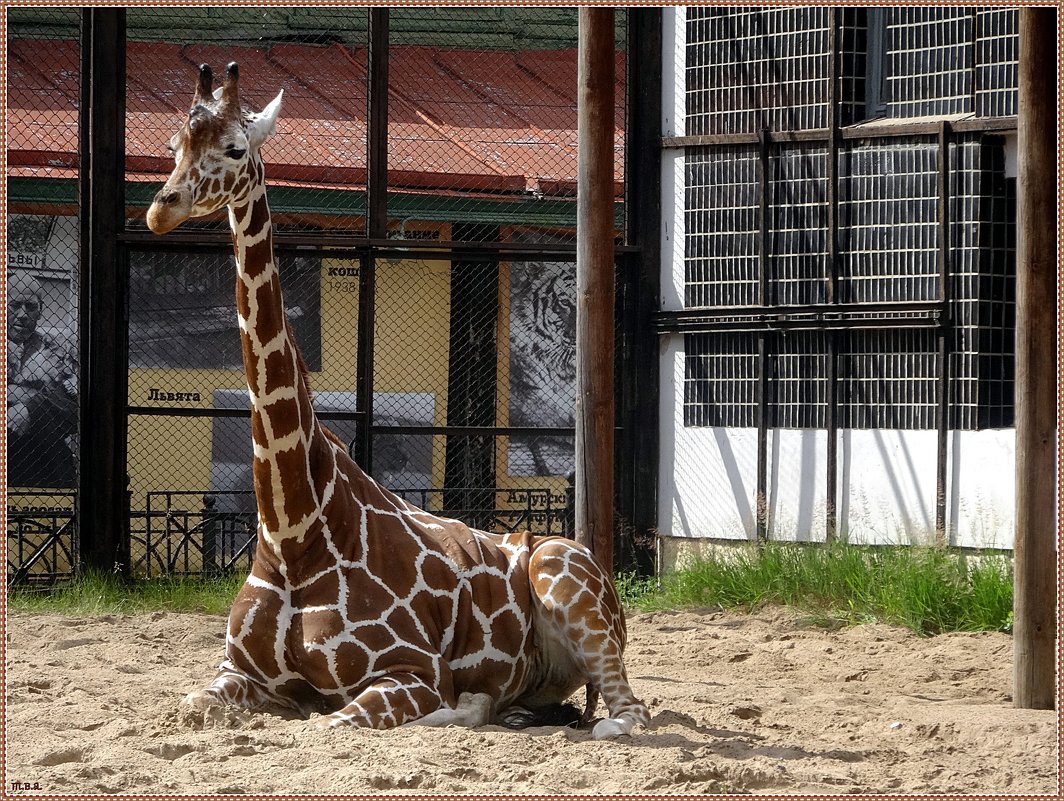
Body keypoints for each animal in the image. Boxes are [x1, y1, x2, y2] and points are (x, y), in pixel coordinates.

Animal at [141, 60, 646, 736]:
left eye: (234, 147)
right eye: (175, 145)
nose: (160, 210)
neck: (294, 532)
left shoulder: (411, 671)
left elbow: (332, 723)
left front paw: (459, 705)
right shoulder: (238, 673)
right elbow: (190, 705)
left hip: (565, 577)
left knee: (624, 714)